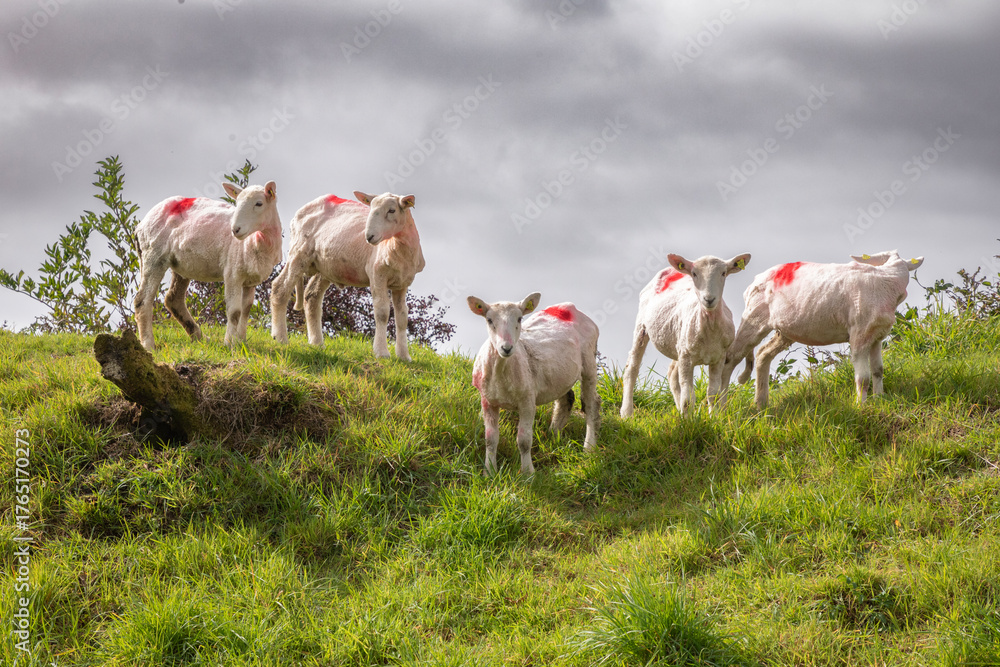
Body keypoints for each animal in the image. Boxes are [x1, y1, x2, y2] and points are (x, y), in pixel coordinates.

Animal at [133, 182, 282, 351]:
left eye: (259, 203)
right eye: (237, 202)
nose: (235, 230)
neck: (258, 241)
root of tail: (141, 224)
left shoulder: (251, 280)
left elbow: (246, 310)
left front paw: (241, 341)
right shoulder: (232, 273)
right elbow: (234, 312)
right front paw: (229, 344)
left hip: (180, 264)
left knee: (173, 299)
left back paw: (201, 337)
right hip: (153, 255)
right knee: (142, 301)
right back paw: (148, 344)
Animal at [270, 192, 425, 361]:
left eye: (392, 210)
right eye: (371, 208)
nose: (369, 236)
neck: (398, 247)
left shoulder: (402, 284)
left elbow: (402, 317)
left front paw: (404, 356)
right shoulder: (377, 274)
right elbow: (382, 312)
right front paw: (381, 352)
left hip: (324, 266)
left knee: (312, 296)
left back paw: (317, 343)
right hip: (299, 252)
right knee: (280, 288)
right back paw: (281, 338)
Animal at [468, 293, 601, 476]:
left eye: (519, 318)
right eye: (489, 320)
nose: (506, 348)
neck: (501, 369)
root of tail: (570, 308)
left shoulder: (527, 400)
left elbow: (524, 441)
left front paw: (528, 473)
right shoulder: (487, 400)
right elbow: (490, 439)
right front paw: (489, 472)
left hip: (589, 361)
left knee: (591, 404)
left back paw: (589, 448)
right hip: (559, 374)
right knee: (566, 399)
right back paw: (553, 436)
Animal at [620, 253, 751, 417]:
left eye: (723, 273)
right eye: (694, 274)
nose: (709, 299)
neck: (710, 329)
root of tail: (670, 269)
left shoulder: (718, 357)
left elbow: (712, 394)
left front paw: (713, 418)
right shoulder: (687, 358)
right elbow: (688, 398)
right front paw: (688, 422)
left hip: (679, 343)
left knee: (672, 374)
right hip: (642, 327)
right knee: (632, 368)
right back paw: (626, 413)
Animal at [721, 250, 925, 409]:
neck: (887, 281)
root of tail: (754, 281)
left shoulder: (876, 336)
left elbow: (878, 370)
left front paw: (880, 399)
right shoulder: (859, 334)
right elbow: (863, 377)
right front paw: (861, 406)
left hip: (785, 329)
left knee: (763, 353)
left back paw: (761, 404)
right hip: (754, 318)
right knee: (730, 358)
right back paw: (721, 403)